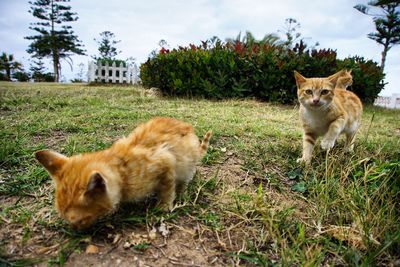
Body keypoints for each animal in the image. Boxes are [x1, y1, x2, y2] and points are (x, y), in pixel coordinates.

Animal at [34, 118, 212, 230]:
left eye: (79, 220)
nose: (75, 231)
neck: (122, 170)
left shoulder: (166, 160)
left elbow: (167, 188)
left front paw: (164, 206)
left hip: (187, 163)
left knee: (184, 177)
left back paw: (181, 190)